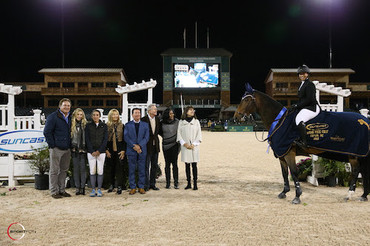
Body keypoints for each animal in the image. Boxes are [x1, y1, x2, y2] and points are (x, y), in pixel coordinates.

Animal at [234, 84, 370, 204]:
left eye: (247, 100)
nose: (236, 118)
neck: (279, 120)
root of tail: (365, 120)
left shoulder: (289, 153)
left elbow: (294, 172)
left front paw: (297, 196)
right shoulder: (282, 155)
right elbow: (284, 173)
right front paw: (284, 192)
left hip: (354, 154)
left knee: (356, 171)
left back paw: (349, 195)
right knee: (363, 171)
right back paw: (363, 195)